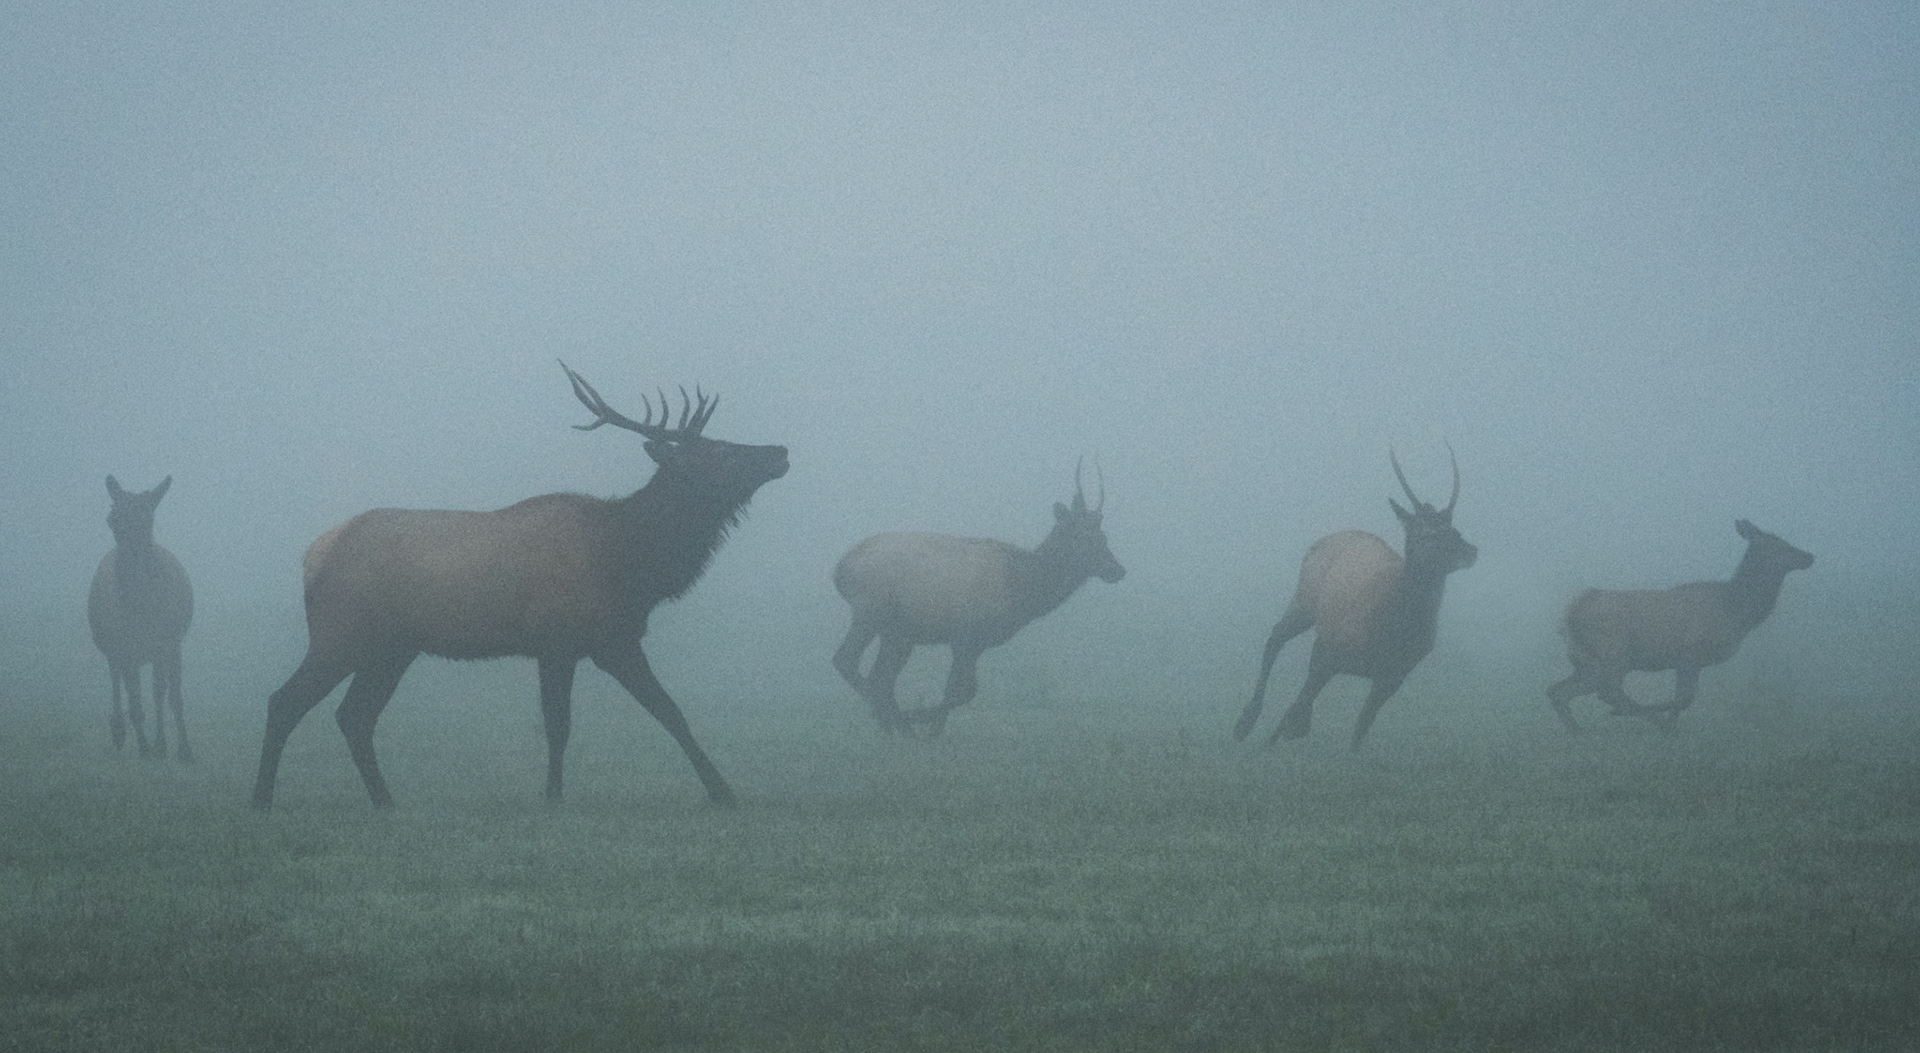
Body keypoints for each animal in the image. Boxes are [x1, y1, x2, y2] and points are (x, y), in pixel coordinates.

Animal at [87, 475, 195, 761]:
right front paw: (147, 748)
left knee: (159, 689)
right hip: (112, 647)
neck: (143, 610)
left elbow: (169, 695)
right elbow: (135, 698)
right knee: (118, 681)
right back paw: (119, 731)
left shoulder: (169, 641)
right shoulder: (125, 647)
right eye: (112, 520)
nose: (131, 572)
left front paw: (180, 749)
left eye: (148, 519)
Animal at [250, 363, 788, 811]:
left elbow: (670, 711)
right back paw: (261, 800)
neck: (630, 563)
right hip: (340, 636)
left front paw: (723, 791)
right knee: (286, 702)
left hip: (393, 649)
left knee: (354, 716)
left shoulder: (614, 641)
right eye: (718, 452)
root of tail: (313, 556)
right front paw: (552, 799)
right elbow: (558, 725)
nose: (780, 451)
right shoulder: (558, 641)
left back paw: (385, 802)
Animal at [832, 460, 1124, 738]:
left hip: (898, 633)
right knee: (846, 661)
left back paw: (891, 725)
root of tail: (840, 569)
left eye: (1103, 536)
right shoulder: (967, 636)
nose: (1117, 570)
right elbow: (962, 691)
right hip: (870, 612)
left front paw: (928, 727)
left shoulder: (974, 642)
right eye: (1079, 535)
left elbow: (960, 690)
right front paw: (920, 721)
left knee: (880, 678)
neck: (1024, 592)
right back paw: (895, 720)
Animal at [1234, 450, 1476, 750]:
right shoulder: (1327, 649)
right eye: (1425, 534)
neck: (1393, 626)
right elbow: (1299, 703)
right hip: (1305, 596)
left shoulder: (1394, 676)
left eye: (1455, 531)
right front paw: (1269, 744)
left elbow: (1360, 726)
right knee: (1276, 636)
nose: (1470, 552)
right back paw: (1245, 722)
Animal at [1547, 519, 1813, 733]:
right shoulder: (1690, 651)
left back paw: (1577, 730)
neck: (1737, 612)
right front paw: (1668, 724)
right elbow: (1685, 698)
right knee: (1606, 691)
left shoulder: (1689, 660)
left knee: (1558, 690)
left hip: (1585, 659)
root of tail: (1569, 613)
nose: (1809, 556)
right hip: (1614, 653)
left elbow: (1684, 697)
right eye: (1779, 544)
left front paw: (1670, 724)